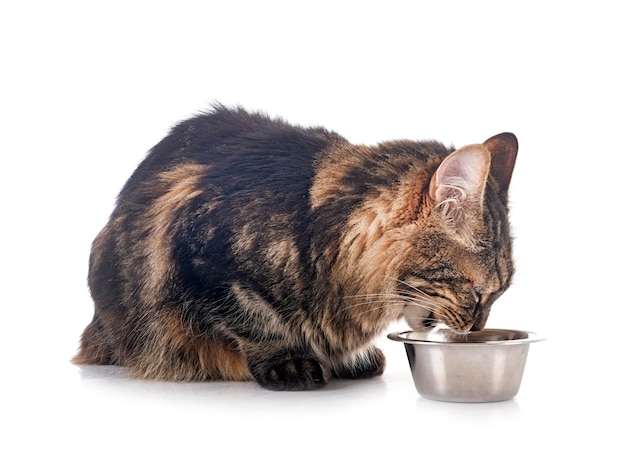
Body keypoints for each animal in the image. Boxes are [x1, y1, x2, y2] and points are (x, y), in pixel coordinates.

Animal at [72, 104, 516, 390]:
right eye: (478, 294)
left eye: (500, 293)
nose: (477, 328)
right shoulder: (203, 255)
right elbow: (252, 317)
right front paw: (287, 359)